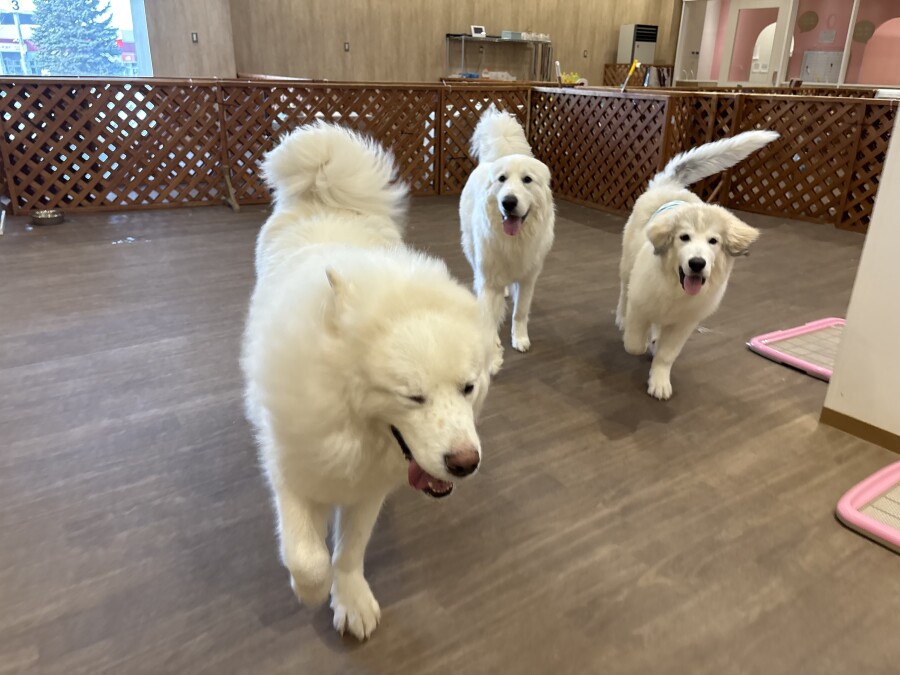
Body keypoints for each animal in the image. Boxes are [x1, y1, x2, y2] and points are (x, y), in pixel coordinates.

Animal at [241, 122, 493, 640]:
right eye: (412, 397)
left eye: (468, 388)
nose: (465, 463)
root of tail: (325, 190)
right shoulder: (292, 467)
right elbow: (307, 555)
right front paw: (312, 592)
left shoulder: (369, 486)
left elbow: (350, 549)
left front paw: (351, 600)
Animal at [459, 105, 555, 374]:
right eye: (502, 179)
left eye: (527, 179)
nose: (508, 202)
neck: (514, 240)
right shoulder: (489, 281)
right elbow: (489, 321)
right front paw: (492, 357)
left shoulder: (528, 278)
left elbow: (520, 312)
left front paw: (520, 338)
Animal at [616, 129, 779, 400]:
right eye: (684, 237)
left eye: (713, 241)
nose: (697, 263)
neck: (676, 289)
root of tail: (670, 185)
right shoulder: (641, 305)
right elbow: (634, 343)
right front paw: (641, 342)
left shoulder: (685, 323)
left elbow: (667, 354)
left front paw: (660, 382)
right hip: (628, 264)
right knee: (623, 290)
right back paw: (622, 317)